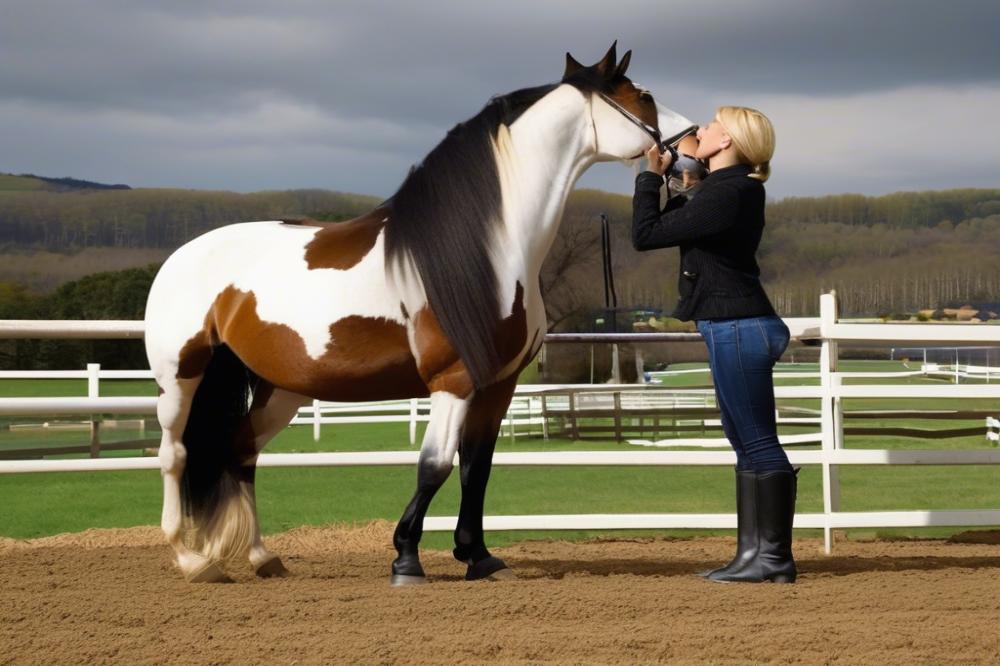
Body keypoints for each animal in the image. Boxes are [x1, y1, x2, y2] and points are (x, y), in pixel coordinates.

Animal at [146, 42, 696, 580]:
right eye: (644, 96)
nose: (692, 146)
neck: (484, 253)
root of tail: (181, 256)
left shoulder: (498, 385)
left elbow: (477, 466)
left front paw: (479, 557)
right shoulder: (452, 379)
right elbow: (434, 465)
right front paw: (406, 558)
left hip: (280, 387)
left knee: (241, 450)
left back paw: (262, 558)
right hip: (182, 377)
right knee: (174, 454)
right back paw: (192, 561)